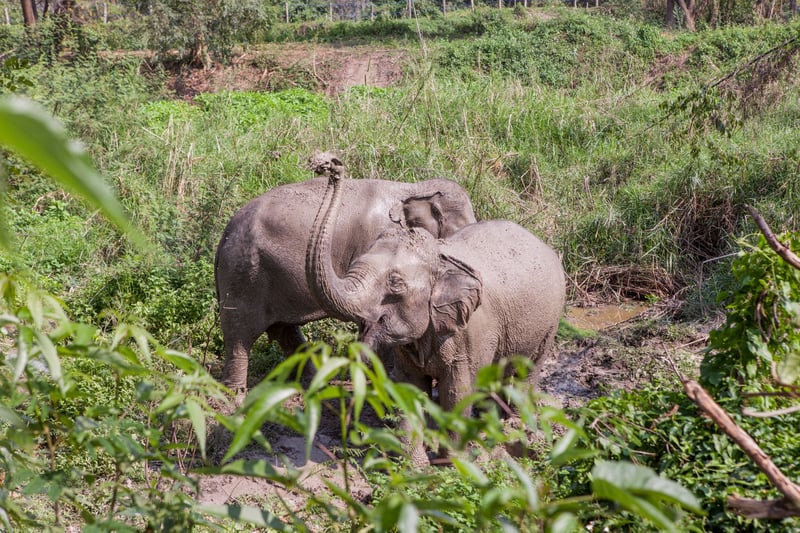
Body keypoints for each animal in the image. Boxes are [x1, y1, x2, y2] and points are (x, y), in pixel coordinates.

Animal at [214, 160, 476, 388]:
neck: (414, 189)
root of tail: (223, 236)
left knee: (284, 331)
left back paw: (314, 383)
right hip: (242, 277)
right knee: (240, 334)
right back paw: (234, 395)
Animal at [304, 171, 564, 466]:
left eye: (395, 283)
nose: (331, 168)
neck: (440, 257)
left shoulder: (472, 332)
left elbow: (458, 392)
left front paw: (451, 464)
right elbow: (409, 388)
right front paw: (413, 466)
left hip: (550, 322)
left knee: (526, 371)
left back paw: (517, 429)